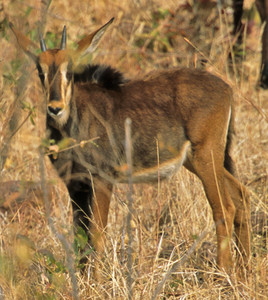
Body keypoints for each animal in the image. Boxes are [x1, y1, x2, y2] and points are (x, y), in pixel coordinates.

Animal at [9, 18, 250, 278]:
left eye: (69, 71)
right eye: (40, 71)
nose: (55, 108)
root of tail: (226, 88)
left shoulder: (102, 178)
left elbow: (97, 233)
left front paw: (96, 280)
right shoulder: (75, 184)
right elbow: (79, 235)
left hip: (206, 155)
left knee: (224, 208)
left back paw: (223, 274)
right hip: (197, 160)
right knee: (240, 195)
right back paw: (244, 269)